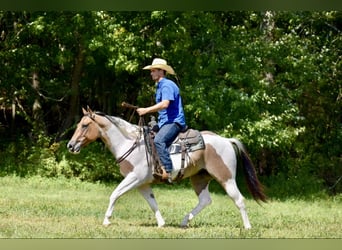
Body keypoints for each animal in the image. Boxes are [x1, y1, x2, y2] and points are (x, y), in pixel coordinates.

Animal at [67, 107, 268, 229]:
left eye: (85, 125)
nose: (70, 145)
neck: (131, 144)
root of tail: (226, 140)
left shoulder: (134, 178)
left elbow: (114, 194)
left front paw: (106, 220)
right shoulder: (142, 183)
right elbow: (152, 202)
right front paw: (162, 223)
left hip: (226, 178)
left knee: (239, 199)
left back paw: (247, 227)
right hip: (200, 178)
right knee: (205, 200)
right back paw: (185, 221)